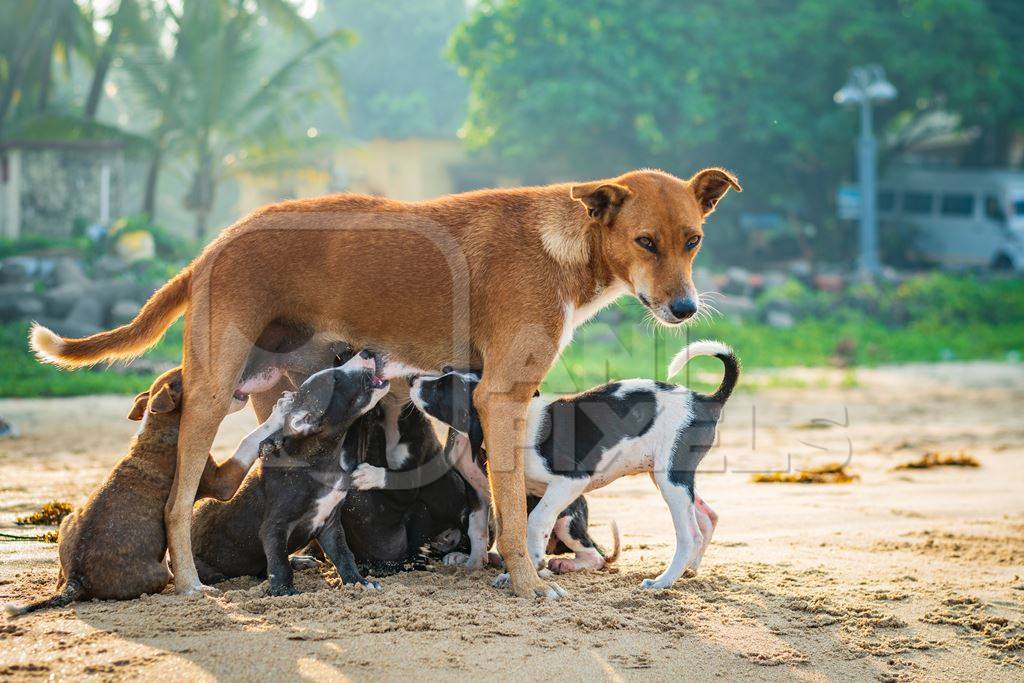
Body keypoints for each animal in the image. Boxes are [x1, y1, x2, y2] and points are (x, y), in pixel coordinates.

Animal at [191, 352, 387, 598]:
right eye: (335, 379)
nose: (367, 352)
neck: (322, 461)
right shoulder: (274, 527)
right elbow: (279, 563)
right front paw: (285, 592)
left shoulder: (330, 524)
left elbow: (344, 555)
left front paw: (359, 581)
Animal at [411, 342, 741, 593]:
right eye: (444, 372)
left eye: (442, 391)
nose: (413, 379)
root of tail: (706, 400)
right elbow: (483, 527)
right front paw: (482, 565)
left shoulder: (570, 482)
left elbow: (535, 522)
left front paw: (529, 567)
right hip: (670, 477)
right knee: (707, 517)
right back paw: (691, 570)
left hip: (669, 478)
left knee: (687, 535)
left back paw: (662, 581)